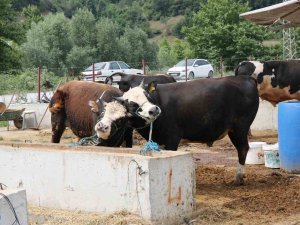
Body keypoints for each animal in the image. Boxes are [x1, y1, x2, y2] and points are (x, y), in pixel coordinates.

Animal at [94, 75, 260, 185]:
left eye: (148, 96)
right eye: (132, 104)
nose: (154, 110)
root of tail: (245, 78)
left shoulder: (172, 138)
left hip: (239, 128)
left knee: (243, 148)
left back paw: (239, 178)